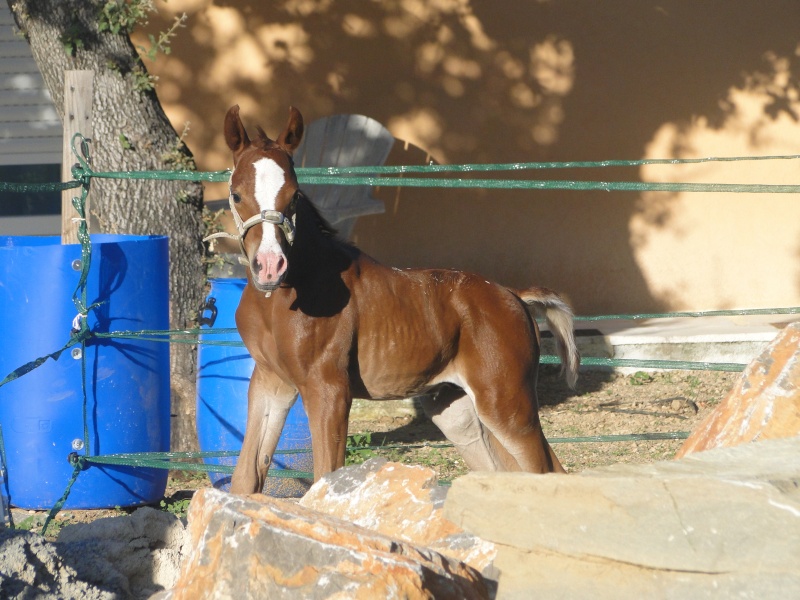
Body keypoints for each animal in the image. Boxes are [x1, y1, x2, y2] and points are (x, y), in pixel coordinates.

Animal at [217, 106, 580, 492]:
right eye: (236, 194)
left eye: (295, 195)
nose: (270, 265)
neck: (285, 295)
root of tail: (514, 295)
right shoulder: (271, 381)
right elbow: (246, 477)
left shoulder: (328, 388)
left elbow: (326, 475)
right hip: (457, 411)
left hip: (506, 403)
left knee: (547, 471)